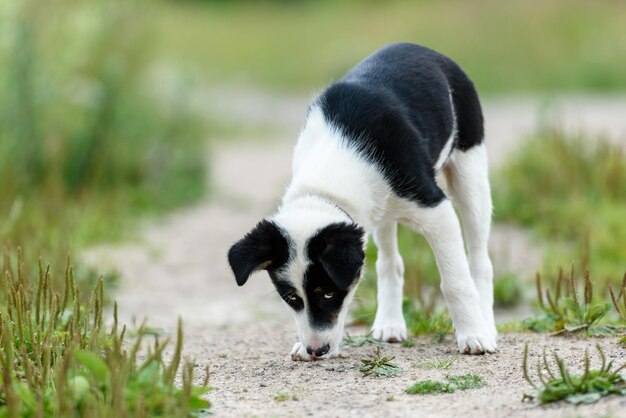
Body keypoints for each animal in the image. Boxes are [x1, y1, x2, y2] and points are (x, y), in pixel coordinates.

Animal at [227, 44, 494, 360]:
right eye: (291, 297)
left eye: (328, 292)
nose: (316, 351)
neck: (328, 180)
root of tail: (423, 49)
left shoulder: (436, 209)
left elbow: (455, 282)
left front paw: (473, 335)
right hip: (382, 212)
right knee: (391, 262)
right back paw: (390, 324)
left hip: (470, 174)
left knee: (479, 260)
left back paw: (486, 326)